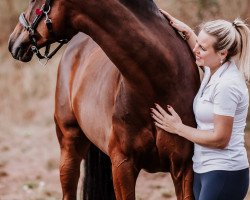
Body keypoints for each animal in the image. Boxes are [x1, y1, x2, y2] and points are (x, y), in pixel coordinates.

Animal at [7, 0, 200, 199]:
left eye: (33, 2)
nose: (13, 42)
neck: (157, 89)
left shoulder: (184, 168)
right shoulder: (123, 165)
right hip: (69, 145)